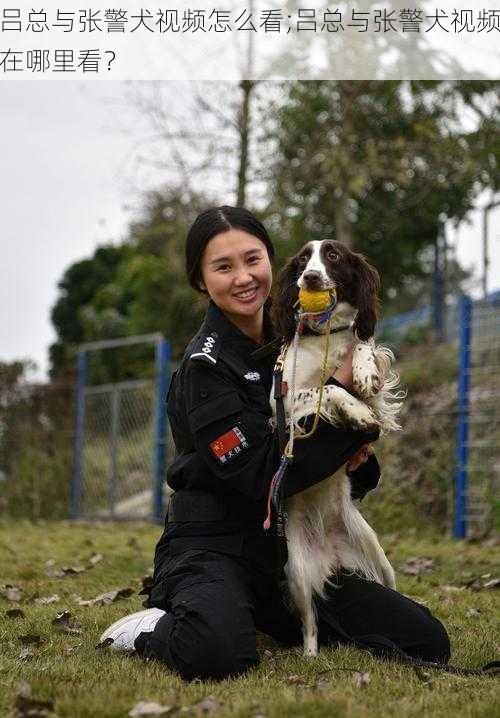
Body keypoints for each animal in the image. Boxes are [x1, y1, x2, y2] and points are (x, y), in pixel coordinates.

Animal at [270, 240, 402, 660]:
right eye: (302, 260)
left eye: (334, 256)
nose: (310, 277)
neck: (325, 334)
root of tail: (333, 557)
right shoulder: (286, 400)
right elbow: (328, 388)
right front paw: (358, 414)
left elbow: (364, 347)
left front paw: (364, 373)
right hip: (296, 571)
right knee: (310, 623)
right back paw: (310, 657)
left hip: (380, 562)